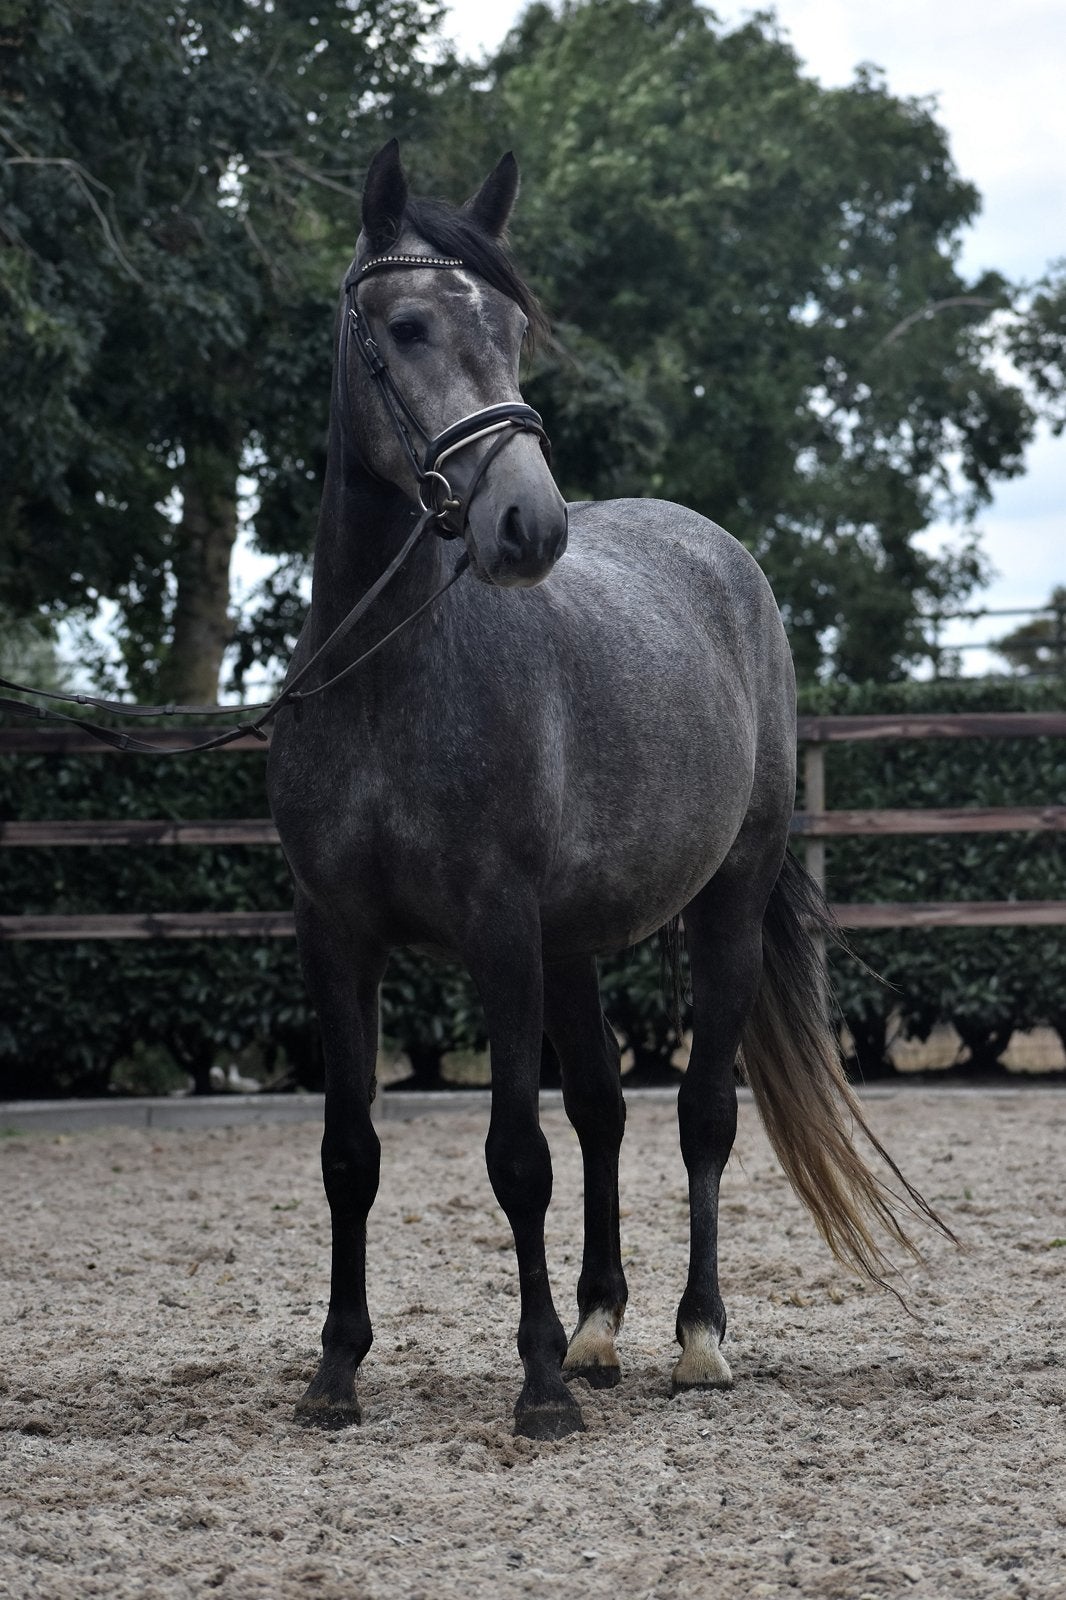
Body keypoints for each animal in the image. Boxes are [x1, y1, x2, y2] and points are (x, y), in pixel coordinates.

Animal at [267, 139, 949, 1440]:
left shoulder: (498, 936)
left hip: (723, 906)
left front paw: (534, 1386)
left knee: (699, 1114)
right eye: (410, 325)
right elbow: (347, 1152)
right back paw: (596, 1329)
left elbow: (513, 1158)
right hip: (573, 945)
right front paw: (336, 1371)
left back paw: (695, 1338)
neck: (384, 678)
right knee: (603, 1112)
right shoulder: (336, 938)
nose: (528, 524)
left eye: (514, 331)